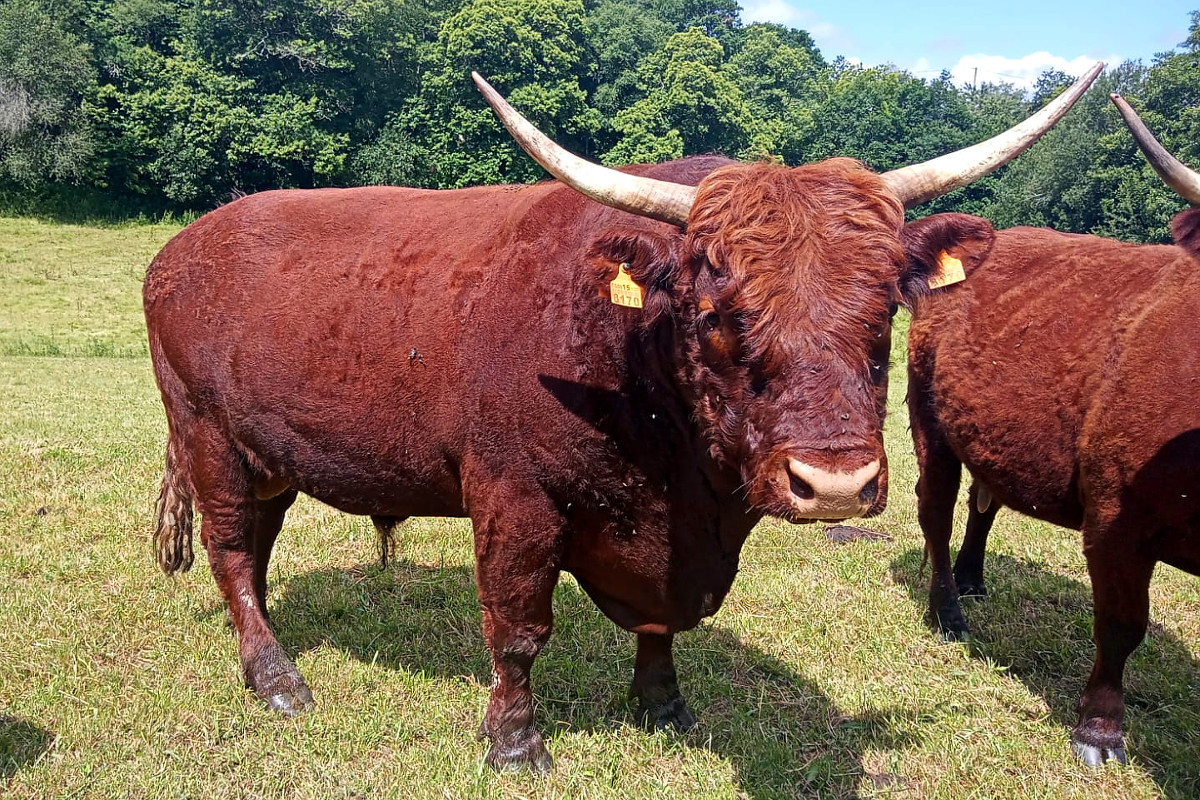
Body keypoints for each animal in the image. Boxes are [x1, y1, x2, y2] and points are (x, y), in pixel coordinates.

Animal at [143, 67, 1099, 771]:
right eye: (717, 313)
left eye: (885, 312)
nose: (834, 483)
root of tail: (184, 246)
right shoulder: (514, 500)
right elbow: (518, 631)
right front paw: (515, 744)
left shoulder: (680, 537)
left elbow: (659, 622)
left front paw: (663, 705)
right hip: (206, 435)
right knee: (231, 550)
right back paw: (275, 677)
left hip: (268, 451)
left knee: (257, 544)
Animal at [903, 93, 1200, 767]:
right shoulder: (1116, 516)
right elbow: (1121, 624)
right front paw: (1099, 730)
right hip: (928, 421)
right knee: (936, 510)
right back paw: (948, 610)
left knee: (984, 501)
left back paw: (972, 577)